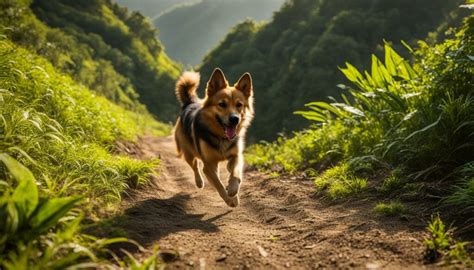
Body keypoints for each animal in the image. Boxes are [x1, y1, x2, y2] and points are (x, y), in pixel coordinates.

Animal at [173, 68, 254, 207]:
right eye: (222, 104)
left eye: (239, 105)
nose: (235, 119)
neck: (221, 137)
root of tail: (190, 103)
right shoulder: (209, 165)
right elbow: (218, 184)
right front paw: (230, 199)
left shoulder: (236, 156)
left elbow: (236, 174)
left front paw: (233, 190)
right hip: (188, 152)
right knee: (195, 164)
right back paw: (199, 182)